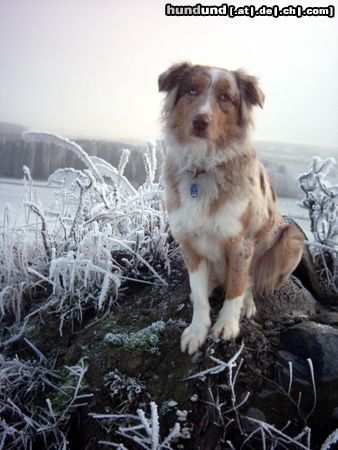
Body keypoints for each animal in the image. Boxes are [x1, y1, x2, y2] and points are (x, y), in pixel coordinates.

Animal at [158, 61, 304, 356]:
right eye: (192, 91)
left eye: (225, 97)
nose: (200, 121)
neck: (203, 166)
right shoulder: (189, 242)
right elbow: (199, 292)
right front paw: (197, 330)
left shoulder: (242, 243)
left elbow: (236, 287)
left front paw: (227, 325)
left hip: (291, 239)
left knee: (251, 281)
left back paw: (247, 304)